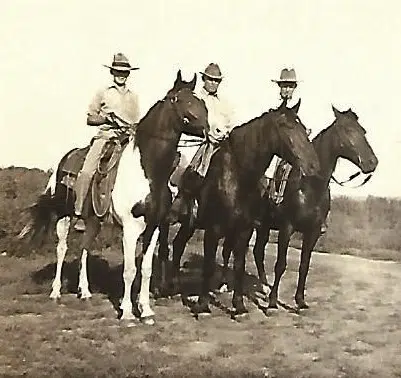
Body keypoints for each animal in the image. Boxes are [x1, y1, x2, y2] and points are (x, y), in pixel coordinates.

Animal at [21, 71, 209, 324]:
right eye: (185, 101)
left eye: (201, 102)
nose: (216, 131)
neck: (147, 170)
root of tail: (62, 162)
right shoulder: (131, 227)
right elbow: (129, 270)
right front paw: (128, 312)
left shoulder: (155, 225)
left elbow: (146, 269)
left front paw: (146, 311)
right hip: (64, 216)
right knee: (62, 249)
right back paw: (56, 292)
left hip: (93, 220)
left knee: (85, 248)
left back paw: (85, 292)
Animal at [162, 101, 318, 316]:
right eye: (286, 126)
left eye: (303, 127)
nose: (313, 165)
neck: (237, 178)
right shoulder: (213, 229)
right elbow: (208, 265)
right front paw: (202, 305)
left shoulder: (243, 229)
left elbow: (238, 265)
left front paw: (239, 305)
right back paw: (169, 285)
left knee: (177, 245)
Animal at [220, 105, 376, 310]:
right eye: (348, 130)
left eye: (363, 131)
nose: (372, 162)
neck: (310, 186)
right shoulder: (287, 228)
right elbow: (281, 264)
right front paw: (272, 302)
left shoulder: (313, 232)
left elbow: (304, 266)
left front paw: (300, 300)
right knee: (228, 249)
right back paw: (225, 284)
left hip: (263, 227)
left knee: (257, 252)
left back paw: (263, 286)